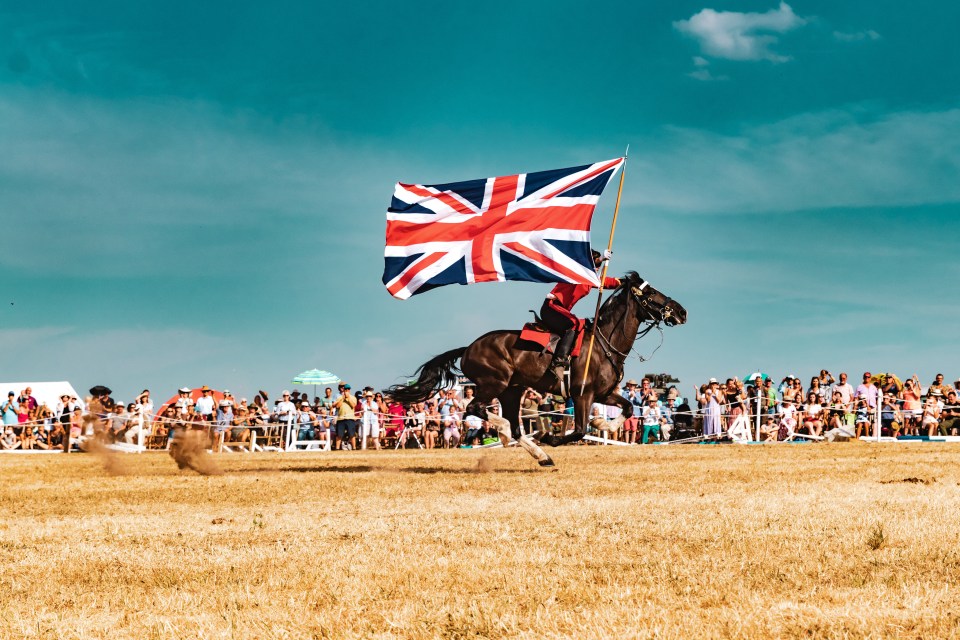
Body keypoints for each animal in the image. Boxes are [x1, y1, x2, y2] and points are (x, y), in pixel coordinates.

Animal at [386, 270, 688, 464]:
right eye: (651, 293)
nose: (682, 311)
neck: (603, 343)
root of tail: (468, 348)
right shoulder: (582, 395)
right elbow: (579, 430)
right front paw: (552, 437)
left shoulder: (604, 393)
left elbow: (625, 409)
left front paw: (603, 422)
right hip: (494, 384)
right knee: (477, 409)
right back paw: (509, 433)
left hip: (513, 390)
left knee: (514, 426)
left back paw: (539, 455)